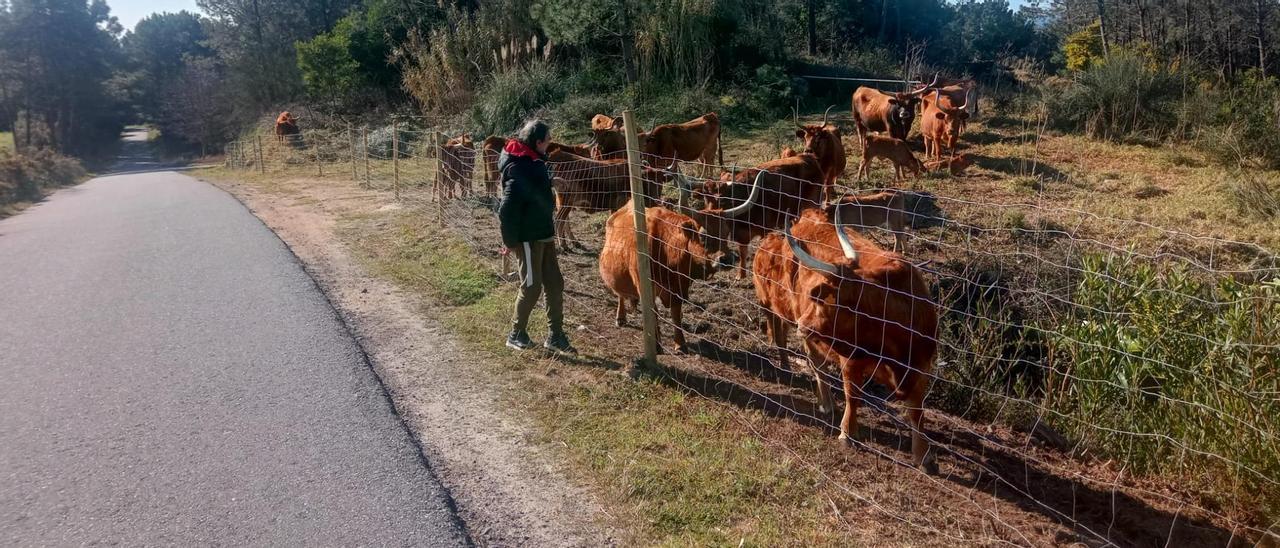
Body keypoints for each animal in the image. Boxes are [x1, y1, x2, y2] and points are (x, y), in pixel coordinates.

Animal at [596, 204, 732, 350]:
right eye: (703, 236)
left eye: (726, 233)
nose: (727, 259)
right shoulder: (645, 287)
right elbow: (653, 313)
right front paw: (656, 344)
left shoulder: (678, 289)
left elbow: (676, 314)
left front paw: (680, 343)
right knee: (620, 295)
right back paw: (620, 317)